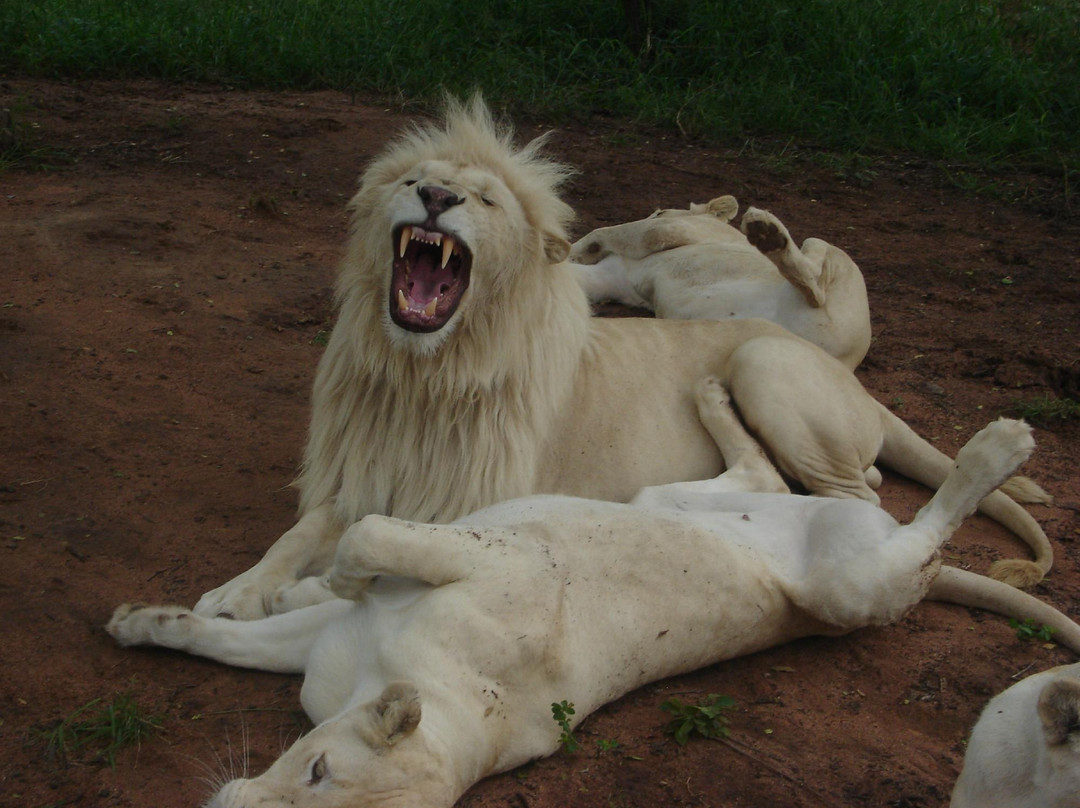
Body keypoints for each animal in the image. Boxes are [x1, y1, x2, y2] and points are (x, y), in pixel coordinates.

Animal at [568, 196, 873, 369]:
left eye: (660, 211)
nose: (653, 213)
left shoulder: (674, 229)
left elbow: (616, 230)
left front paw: (576, 249)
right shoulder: (611, 278)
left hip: (823, 247)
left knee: (814, 286)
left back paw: (766, 232)